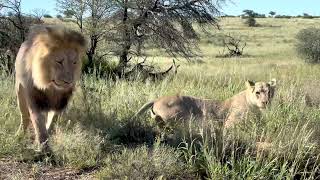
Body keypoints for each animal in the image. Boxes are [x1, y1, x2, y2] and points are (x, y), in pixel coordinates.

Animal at [134, 79, 276, 129]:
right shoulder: (229, 123)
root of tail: (157, 99)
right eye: (257, 92)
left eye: (269, 92)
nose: (266, 102)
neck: (256, 108)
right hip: (181, 114)